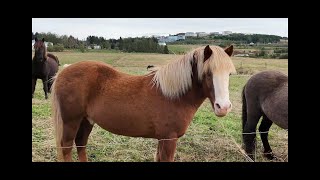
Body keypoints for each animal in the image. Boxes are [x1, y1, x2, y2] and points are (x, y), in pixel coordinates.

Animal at [50, 44, 235, 162]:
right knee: (67, 148)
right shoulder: (169, 139)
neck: (174, 95)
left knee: (81, 144)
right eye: (208, 73)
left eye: (230, 74)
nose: (223, 107)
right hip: (71, 122)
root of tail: (63, 71)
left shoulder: (163, 139)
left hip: (86, 121)